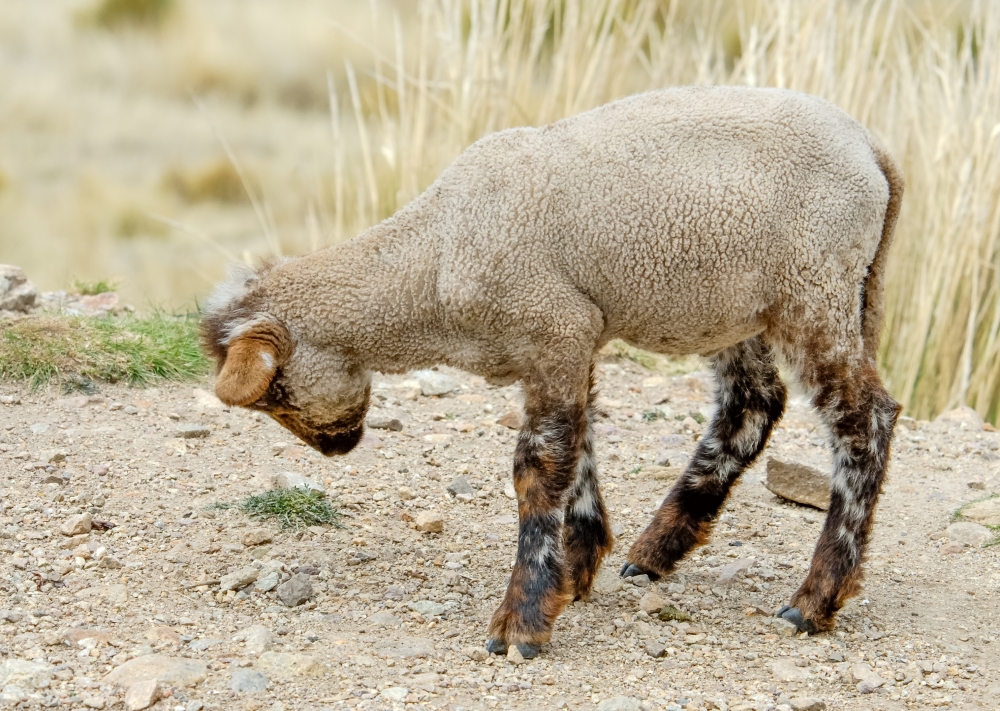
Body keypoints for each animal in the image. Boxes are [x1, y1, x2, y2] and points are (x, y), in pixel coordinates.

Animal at [199, 86, 904, 660]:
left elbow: (538, 469)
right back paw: (656, 552)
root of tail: (873, 149)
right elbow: (578, 450)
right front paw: (578, 565)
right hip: (737, 304)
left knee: (863, 420)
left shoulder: (553, 327)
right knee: (753, 403)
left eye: (274, 392)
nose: (336, 450)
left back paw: (814, 600)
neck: (431, 265)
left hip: (813, 285)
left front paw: (522, 622)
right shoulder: (568, 343)